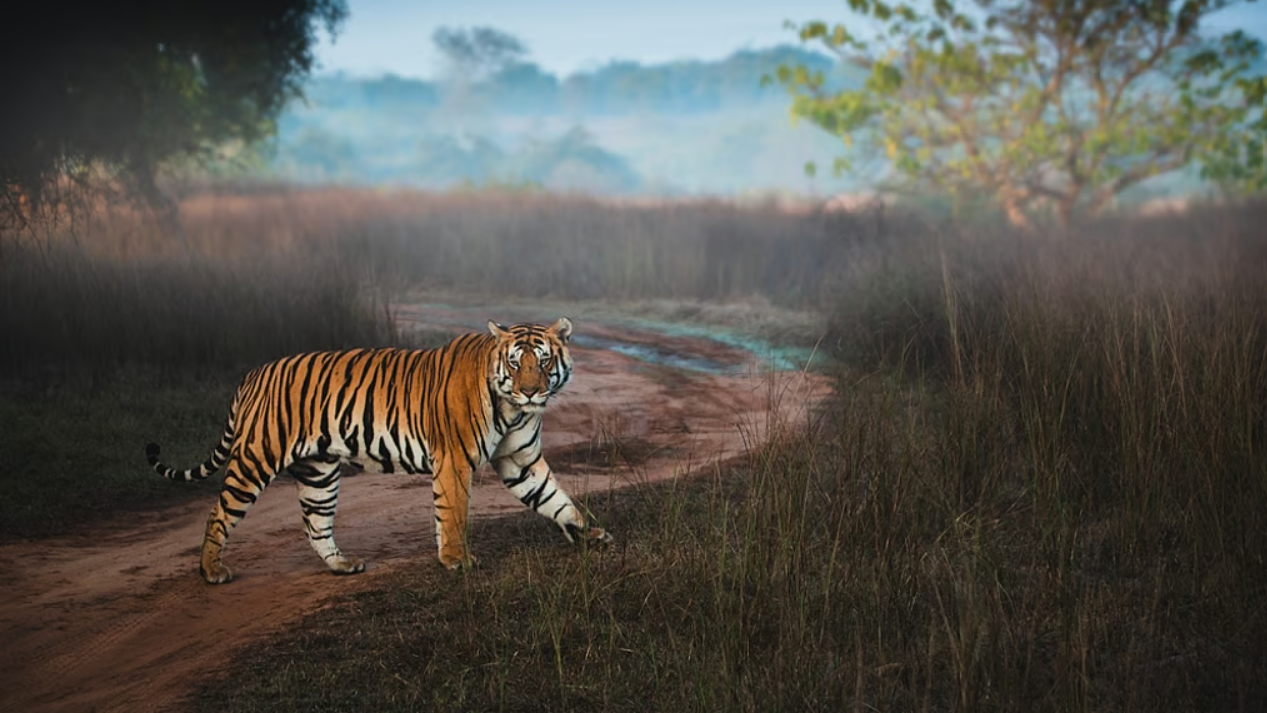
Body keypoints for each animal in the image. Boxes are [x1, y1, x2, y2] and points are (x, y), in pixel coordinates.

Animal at [145, 318, 612, 584]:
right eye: (515, 363)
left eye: (544, 361)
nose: (531, 391)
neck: (513, 410)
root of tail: (253, 374)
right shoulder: (454, 459)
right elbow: (453, 513)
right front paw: (456, 561)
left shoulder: (520, 461)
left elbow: (556, 499)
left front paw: (590, 533)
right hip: (256, 459)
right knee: (219, 513)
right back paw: (210, 571)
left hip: (318, 472)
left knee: (315, 523)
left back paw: (342, 565)